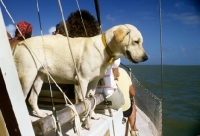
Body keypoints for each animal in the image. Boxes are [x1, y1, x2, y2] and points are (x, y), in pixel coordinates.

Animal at [12, 24, 147, 118]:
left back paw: (40, 114)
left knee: (32, 99)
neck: (105, 49)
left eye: (141, 42)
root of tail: (20, 43)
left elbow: (91, 102)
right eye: (136, 41)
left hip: (39, 77)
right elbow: (83, 103)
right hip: (27, 77)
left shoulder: (93, 82)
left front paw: (92, 116)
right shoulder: (82, 80)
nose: (146, 58)